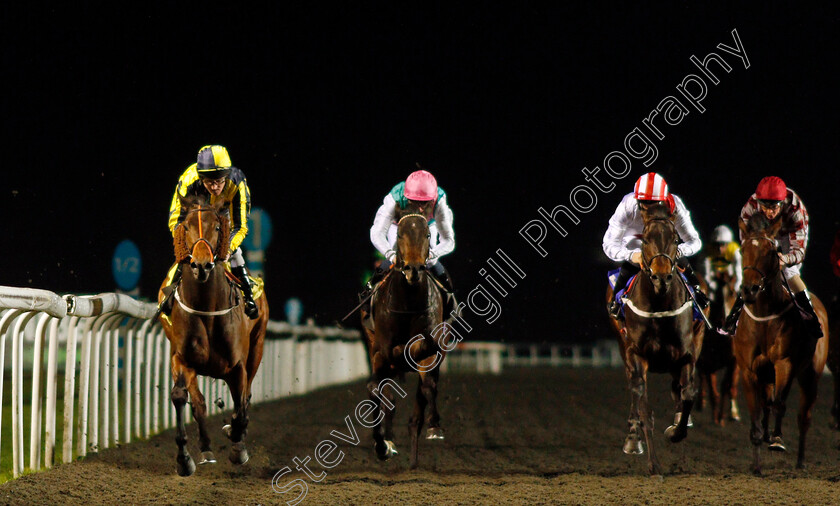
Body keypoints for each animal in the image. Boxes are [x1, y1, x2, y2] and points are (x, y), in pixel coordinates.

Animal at [158, 194, 270, 474]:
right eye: (186, 226)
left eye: (218, 227)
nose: (201, 265)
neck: (207, 307)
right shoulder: (182, 358)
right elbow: (181, 397)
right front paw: (184, 458)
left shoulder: (238, 365)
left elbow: (241, 405)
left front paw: (237, 444)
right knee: (199, 403)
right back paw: (207, 449)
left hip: (257, 347)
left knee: (245, 397)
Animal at [364, 208, 450, 468]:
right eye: (400, 234)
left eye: (428, 234)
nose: (413, 269)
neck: (408, 302)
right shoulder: (382, 352)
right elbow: (376, 390)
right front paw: (382, 445)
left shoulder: (429, 349)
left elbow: (428, 386)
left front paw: (435, 426)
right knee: (387, 396)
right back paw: (390, 442)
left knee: (420, 397)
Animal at [612, 204, 700, 476]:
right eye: (645, 240)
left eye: (675, 240)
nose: (661, 278)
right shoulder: (636, 355)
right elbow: (643, 405)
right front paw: (653, 464)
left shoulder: (686, 353)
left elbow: (689, 393)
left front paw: (676, 431)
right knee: (634, 390)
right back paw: (632, 437)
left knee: (679, 390)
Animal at [696, 266, 740, 424]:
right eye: (718, 295)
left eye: (732, 292)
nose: (726, 321)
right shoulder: (708, 362)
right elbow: (713, 388)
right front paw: (716, 416)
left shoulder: (733, 361)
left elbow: (727, 386)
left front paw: (726, 415)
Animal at [736, 214, 828, 474]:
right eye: (743, 249)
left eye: (771, 251)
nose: (749, 289)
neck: (764, 318)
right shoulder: (749, 371)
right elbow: (756, 412)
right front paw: (756, 461)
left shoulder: (784, 364)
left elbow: (780, 403)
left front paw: (776, 440)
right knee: (766, 404)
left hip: (810, 376)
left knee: (803, 416)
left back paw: (800, 461)